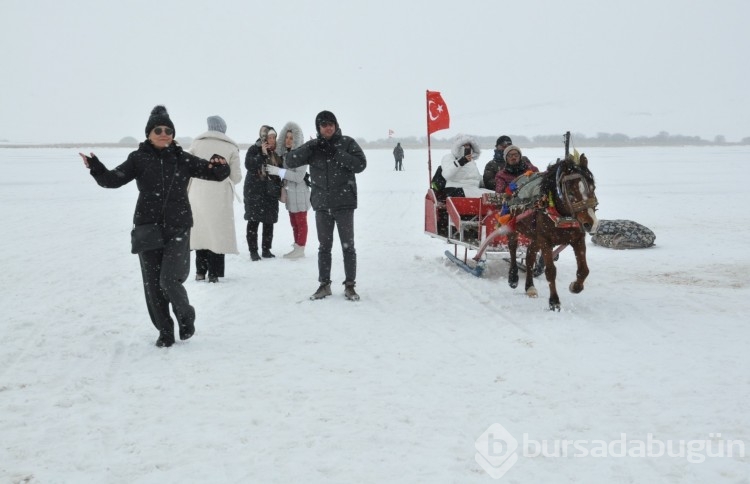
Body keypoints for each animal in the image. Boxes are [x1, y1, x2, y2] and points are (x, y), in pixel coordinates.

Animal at [508, 153, 604, 310]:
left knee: (529, 257)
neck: (561, 214)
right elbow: (550, 271)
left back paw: (530, 287)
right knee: (512, 248)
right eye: (570, 192)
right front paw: (554, 301)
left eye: (593, 187)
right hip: (513, 226)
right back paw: (513, 277)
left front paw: (575, 287)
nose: (592, 224)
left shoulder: (578, 239)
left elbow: (584, 270)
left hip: (535, 237)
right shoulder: (545, 241)